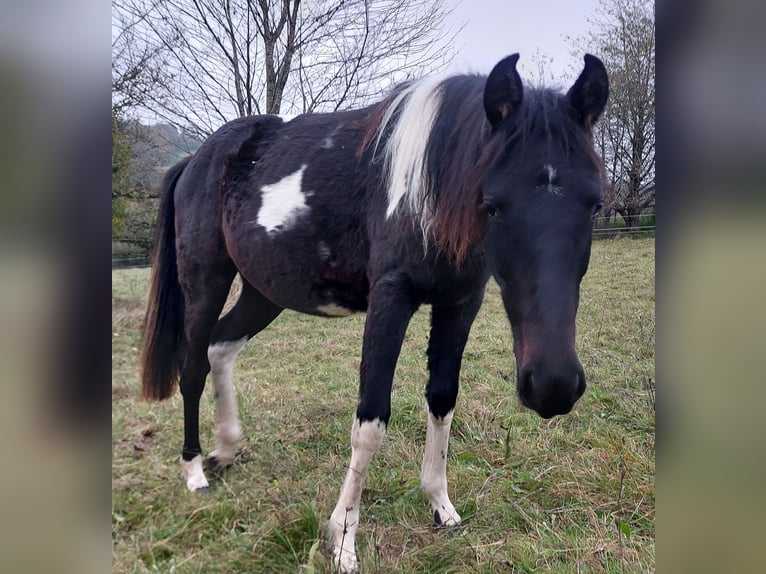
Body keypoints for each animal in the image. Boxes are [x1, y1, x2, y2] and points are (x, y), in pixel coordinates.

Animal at [141, 53, 612, 572]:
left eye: (595, 205)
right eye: (492, 206)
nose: (552, 386)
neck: (430, 184)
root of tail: (195, 160)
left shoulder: (460, 303)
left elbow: (442, 400)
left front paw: (440, 505)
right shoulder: (391, 299)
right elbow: (370, 423)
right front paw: (343, 539)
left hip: (263, 292)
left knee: (220, 348)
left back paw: (225, 449)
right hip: (206, 281)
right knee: (192, 368)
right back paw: (194, 470)